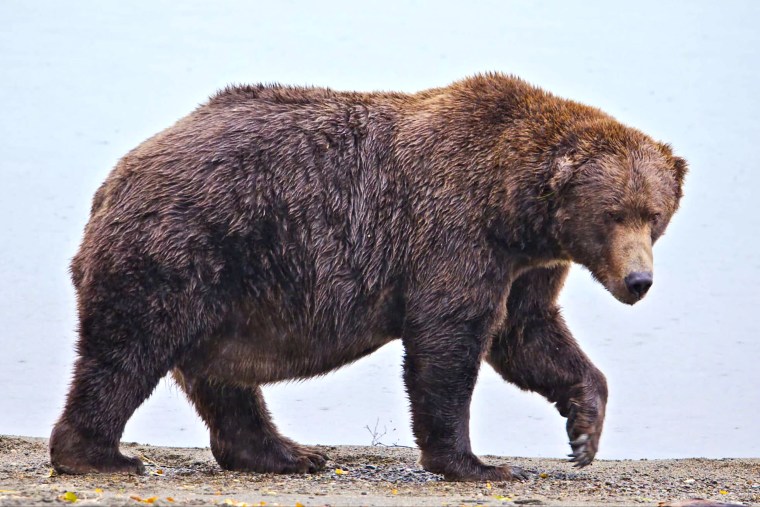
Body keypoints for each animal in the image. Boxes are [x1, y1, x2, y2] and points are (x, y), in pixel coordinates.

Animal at [50, 73, 687, 481]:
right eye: (613, 214)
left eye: (654, 215)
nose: (638, 281)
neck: (513, 208)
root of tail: (113, 180)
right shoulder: (454, 232)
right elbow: (449, 341)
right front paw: (477, 464)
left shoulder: (528, 265)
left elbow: (528, 335)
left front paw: (583, 431)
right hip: (185, 247)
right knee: (129, 350)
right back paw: (100, 455)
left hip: (226, 288)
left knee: (221, 378)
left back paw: (285, 454)